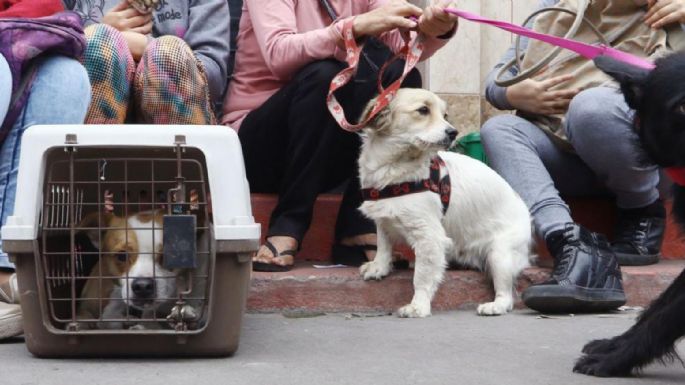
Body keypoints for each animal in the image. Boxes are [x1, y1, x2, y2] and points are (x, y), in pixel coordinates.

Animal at [358, 88, 536, 316]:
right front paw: (378, 267)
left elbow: (421, 277)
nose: (453, 132)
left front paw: (418, 306)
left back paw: (495, 305)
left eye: (445, 115)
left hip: (500, 254)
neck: (394, 169)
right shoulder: (383, 218)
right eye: (423, 110)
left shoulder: (428, 236)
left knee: (507, 296)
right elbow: (383, 244)